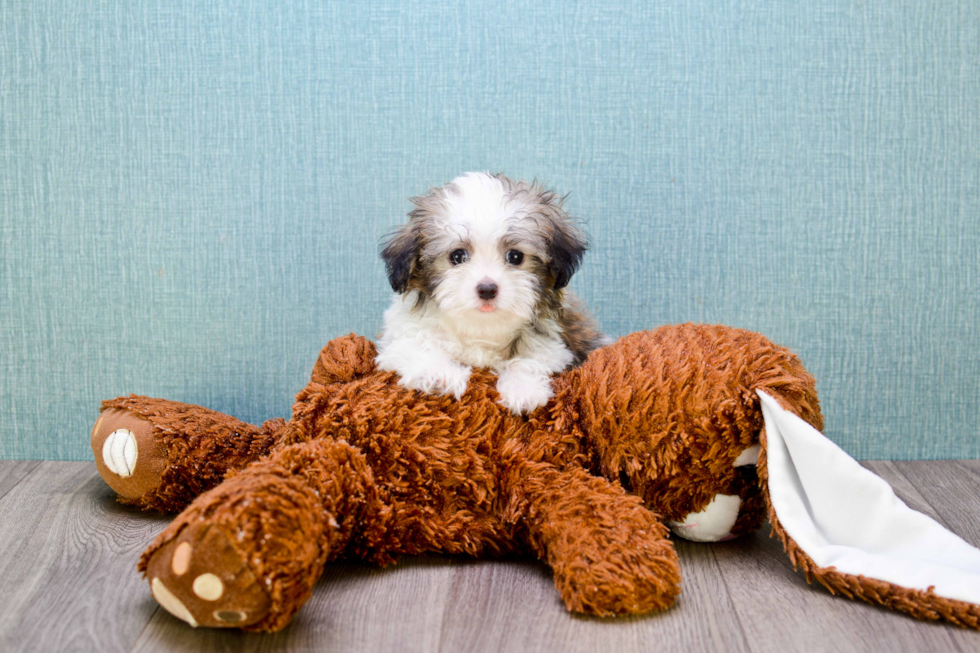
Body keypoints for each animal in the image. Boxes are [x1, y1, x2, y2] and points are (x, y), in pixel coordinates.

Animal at [376, 168, 604, 412]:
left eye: (515, 256)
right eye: (458, 256)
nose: (487, 289)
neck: (482, 327)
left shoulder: (554, 347)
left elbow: (528, 360)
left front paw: (522, 390)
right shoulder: (400, 339)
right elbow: (417, 346)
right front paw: (439, 374)